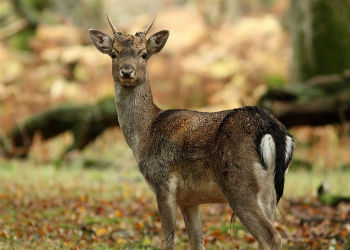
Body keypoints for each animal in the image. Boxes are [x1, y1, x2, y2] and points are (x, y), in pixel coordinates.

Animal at [89, 15, 294, 250]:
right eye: (113, 53)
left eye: (144, 54)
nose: (126, 71)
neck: (145, 134)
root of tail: (273, 130)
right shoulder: (190, 199)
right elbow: (197, 241)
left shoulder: (163, 182)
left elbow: (167, 239)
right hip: (270, 192)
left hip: (239, 185)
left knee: (271, 236)